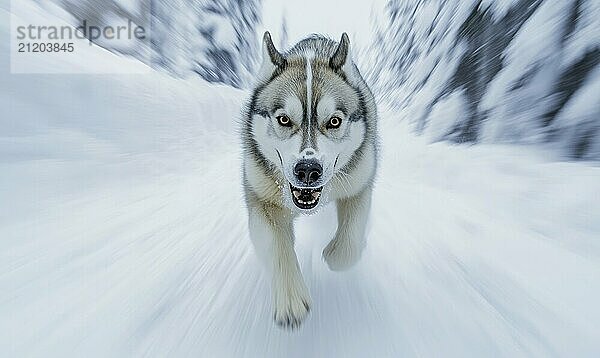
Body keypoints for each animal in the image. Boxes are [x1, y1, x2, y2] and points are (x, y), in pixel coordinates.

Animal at [240, 32, 378, 328]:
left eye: (334, 121)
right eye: (283, 119)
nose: (307, 170)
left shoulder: (359, 184)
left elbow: (348, 245)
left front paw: (336, 253)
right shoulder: (262, 200)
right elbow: (279, 247)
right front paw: (290, 297)